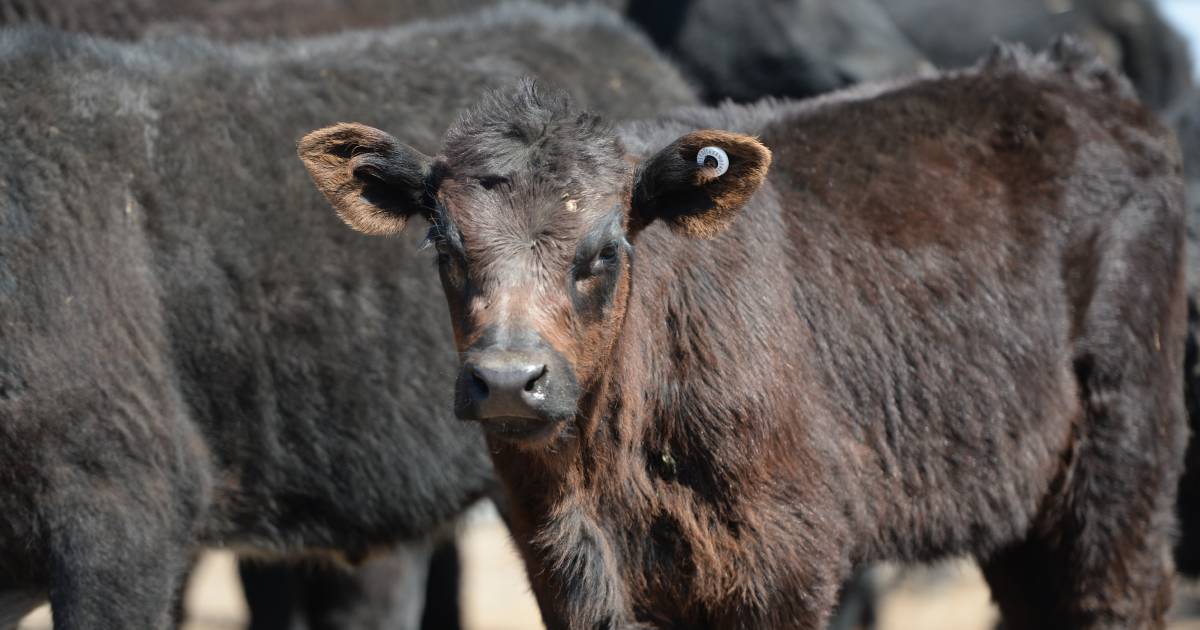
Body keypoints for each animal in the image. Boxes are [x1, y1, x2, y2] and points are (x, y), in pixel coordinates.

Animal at [302, 40, 1190, 628]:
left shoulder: (787, 560)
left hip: (1123, 460)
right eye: (445, 245)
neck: (608, 469)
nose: (509, 378)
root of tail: (1073, 73)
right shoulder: (565, 566)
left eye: (606, 250)